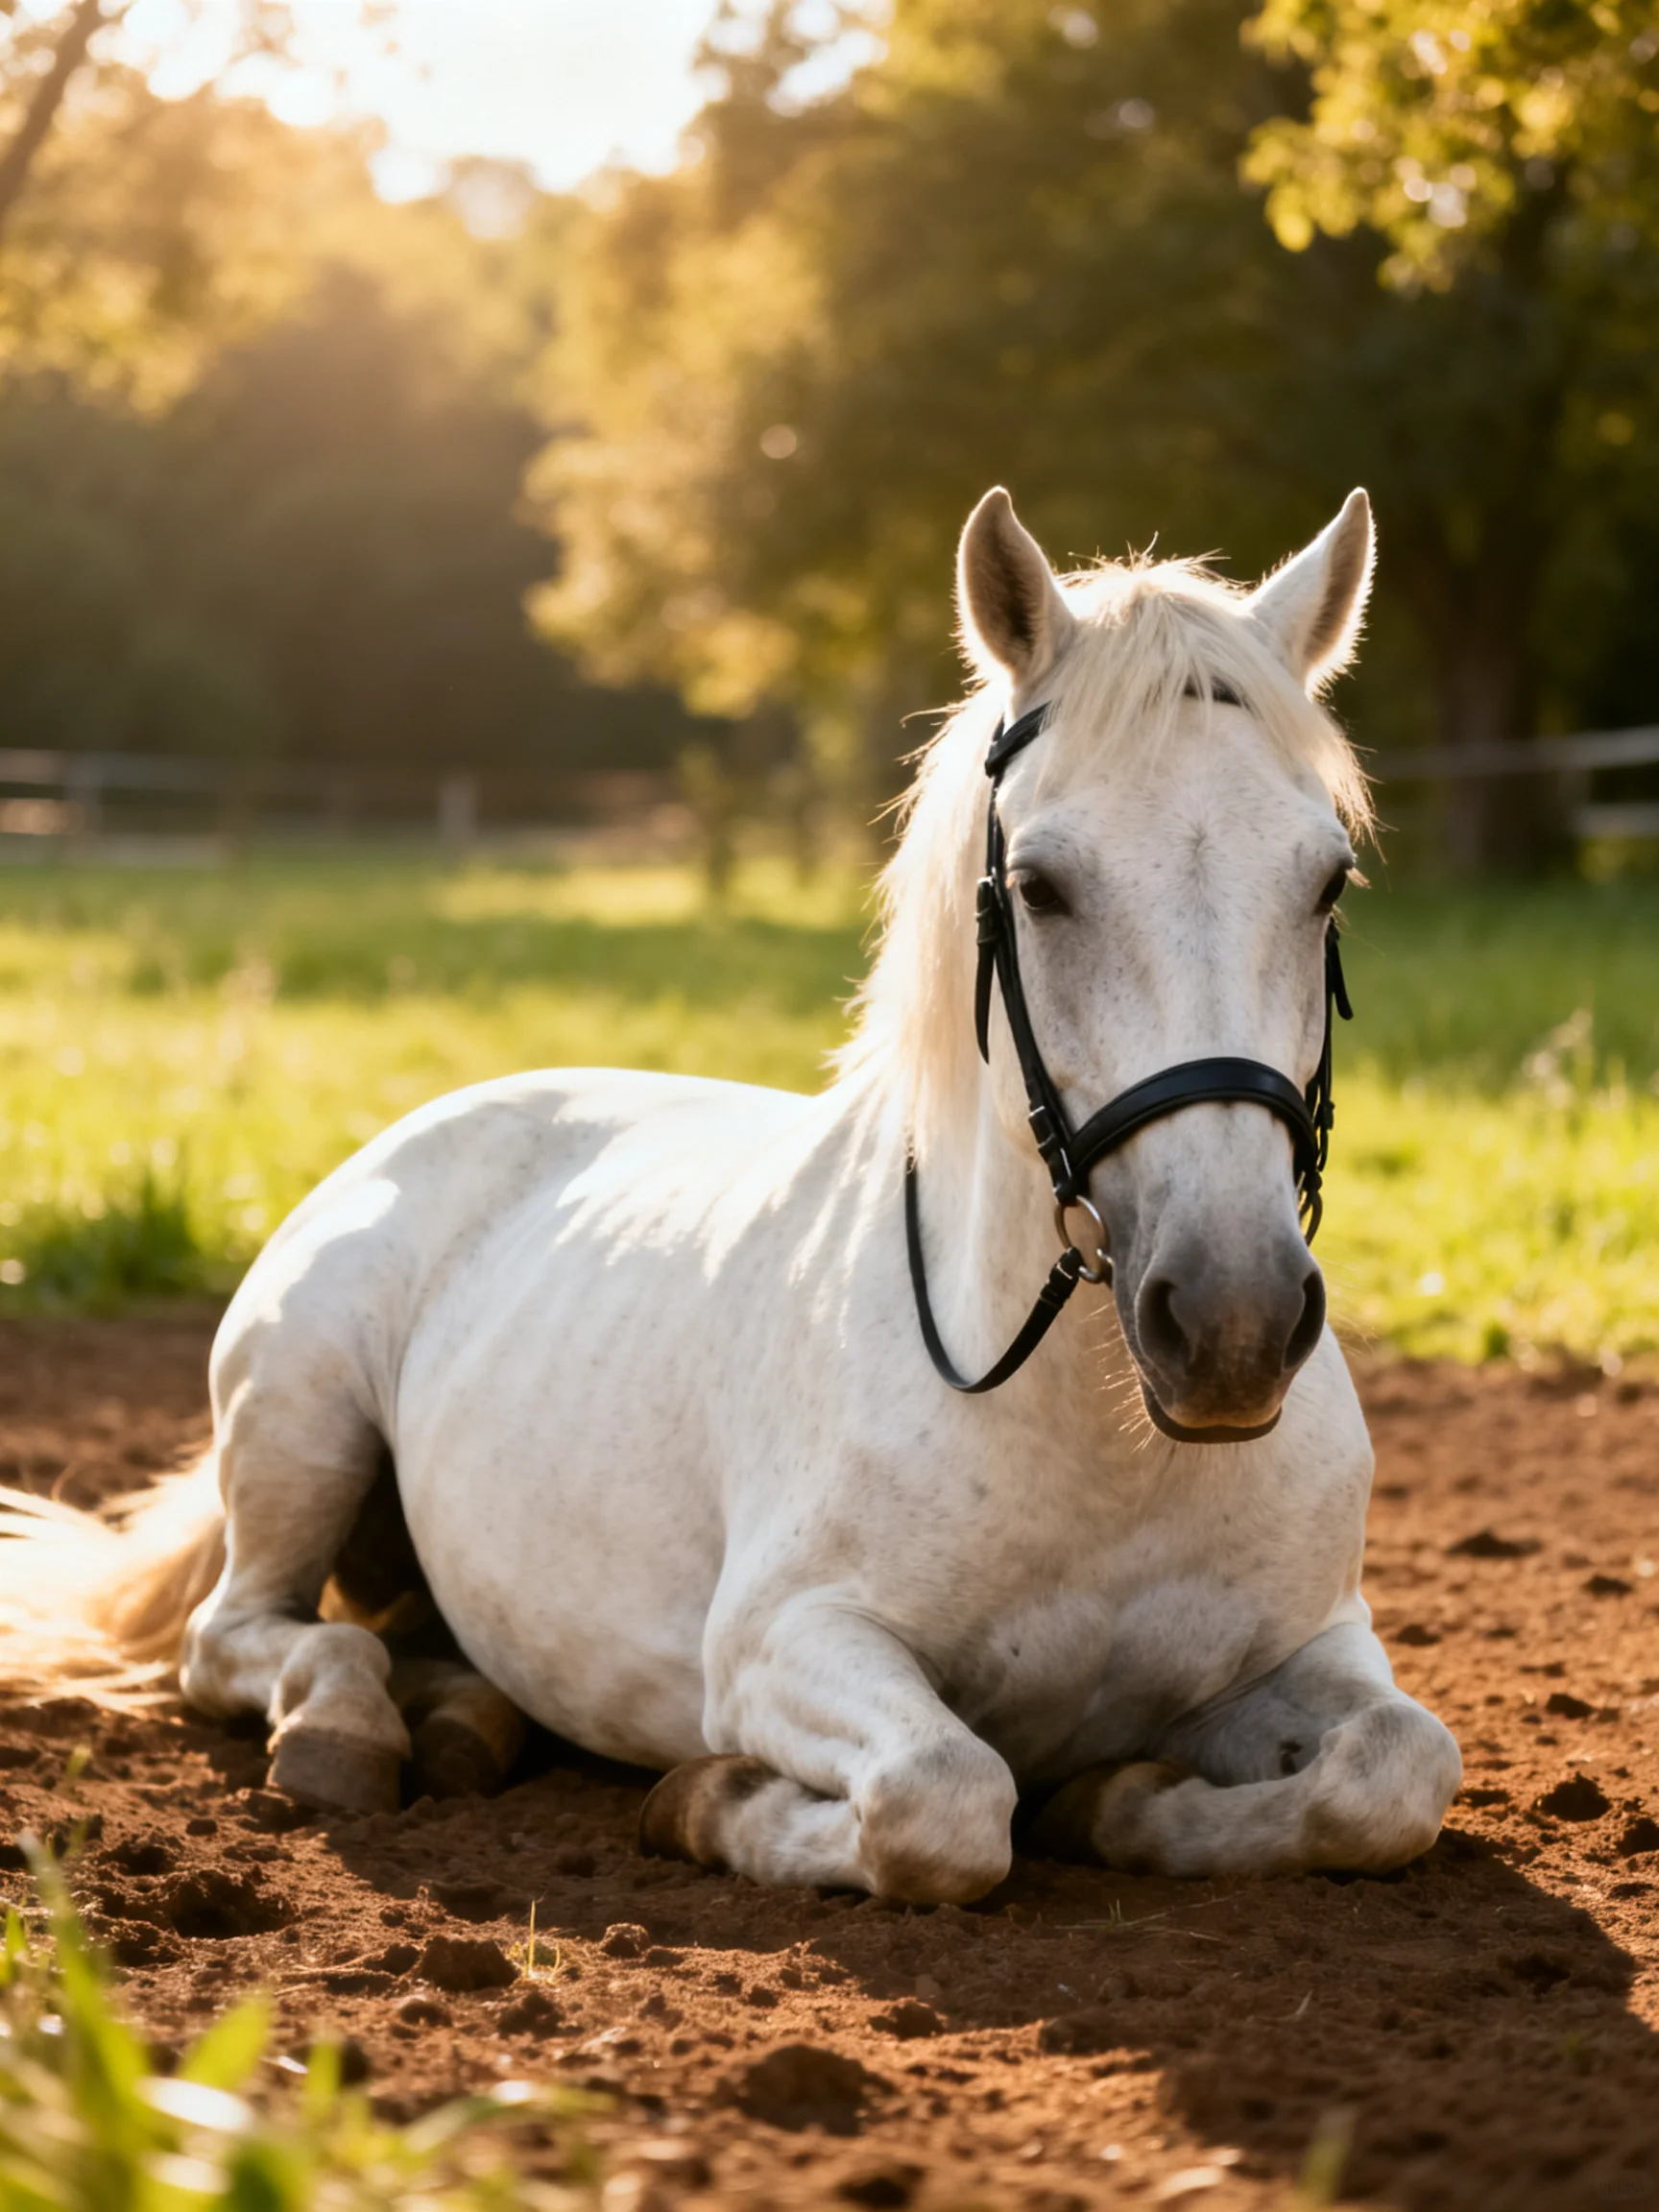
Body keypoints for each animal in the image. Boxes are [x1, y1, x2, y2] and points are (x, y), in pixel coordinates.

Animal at [0, 487, 1461, 1901]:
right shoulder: (780, 1647)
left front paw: (1124, 1803)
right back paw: (346, 1730)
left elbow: (1395, 1770)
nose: (1231, 1324)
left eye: (1326, 881)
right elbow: (943, 1802)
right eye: (1042, 888)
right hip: (300, 1421)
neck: (1098, 1445)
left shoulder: (1314, 1646)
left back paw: (465, 1720)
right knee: (242, 1638)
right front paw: (710, 1807)